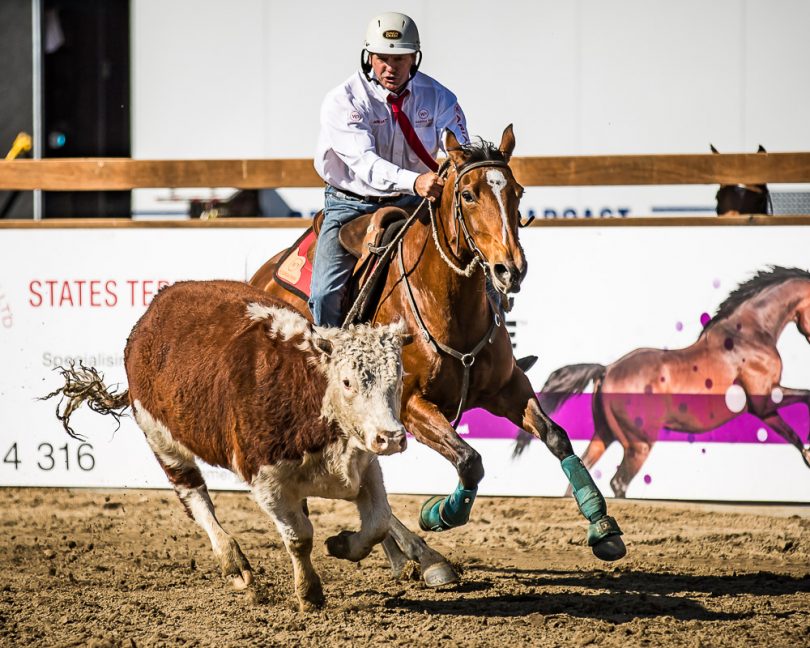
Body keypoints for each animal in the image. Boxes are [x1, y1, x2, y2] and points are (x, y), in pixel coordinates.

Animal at [251, 124, 624, 584]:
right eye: (467, 194)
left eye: (517, 191)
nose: (510, 270)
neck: (447, 304)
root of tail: (261, 279)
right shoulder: (411, 405)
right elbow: (469, 460)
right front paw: (438, 513)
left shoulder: (508, 387)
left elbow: (556, 436)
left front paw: (602, 525)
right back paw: (417, 554)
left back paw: (401, 553)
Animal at [512, 266, 808, 498]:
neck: (748, 334)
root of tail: (607, 370)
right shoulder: (764, 399)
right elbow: (805, 397)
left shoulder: (765, 409)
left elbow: (790, 430)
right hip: (639, 445)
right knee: (618, 483)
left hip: (604, 436)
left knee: (577, 477)